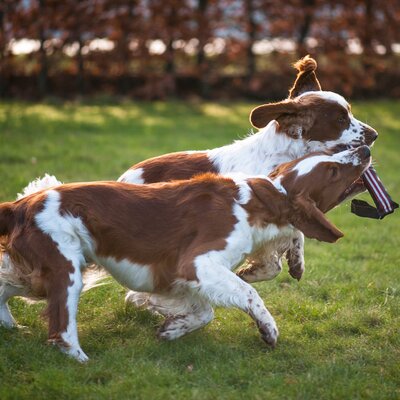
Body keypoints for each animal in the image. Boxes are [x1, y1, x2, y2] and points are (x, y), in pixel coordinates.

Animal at [0, 146, 371, 361]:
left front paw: (171, 329)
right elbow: (247, 294)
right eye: (333, 171)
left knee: (6, 285)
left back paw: (9, 325)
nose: (365, 148)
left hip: (47, 271)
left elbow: (203, 311)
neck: (265, 202)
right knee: (60, 331)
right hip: (66, 271)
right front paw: (268, 329)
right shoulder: (197, 262)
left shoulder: (177, 276)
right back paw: (81, 360)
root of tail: (22, 205)